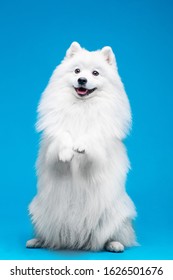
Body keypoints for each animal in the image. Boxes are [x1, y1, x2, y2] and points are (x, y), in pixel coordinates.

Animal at [26, 42, 137, 254]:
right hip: (40, 213)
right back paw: (37, 241)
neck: (82, 106)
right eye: (77, 71)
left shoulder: (99, 135)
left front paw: (80, 146)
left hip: (113, 216)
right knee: (48, 235)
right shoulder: (56, 132)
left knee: (112, 235)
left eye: (95, 73)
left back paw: (114, 245)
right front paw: (66, 153)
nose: (82, 80)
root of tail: (79, 241)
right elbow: (63, 135)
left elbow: (90, 134)